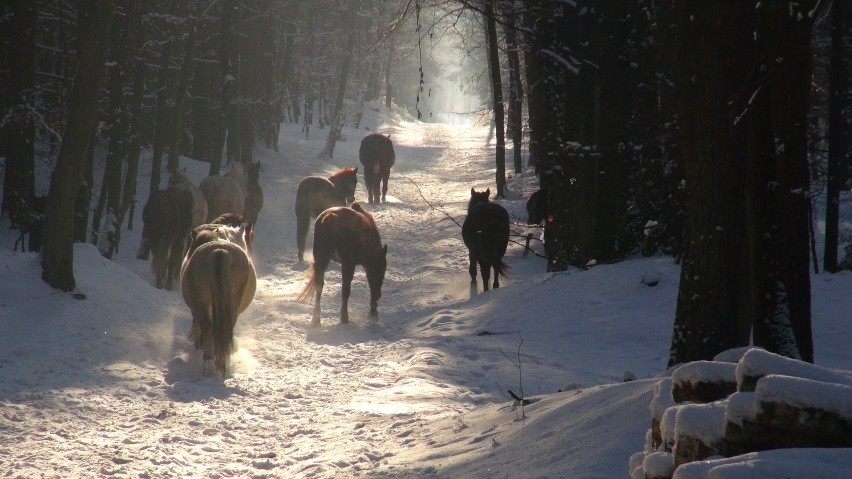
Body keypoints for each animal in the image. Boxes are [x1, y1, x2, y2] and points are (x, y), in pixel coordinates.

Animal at [298, 202, 388, 330]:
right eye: (381, 270)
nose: (378, 295)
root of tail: (331, 217)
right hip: (347, 264)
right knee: (345, 289)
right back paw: (344, 318)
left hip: (321, 260)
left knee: (319, 285)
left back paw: (316, 319)